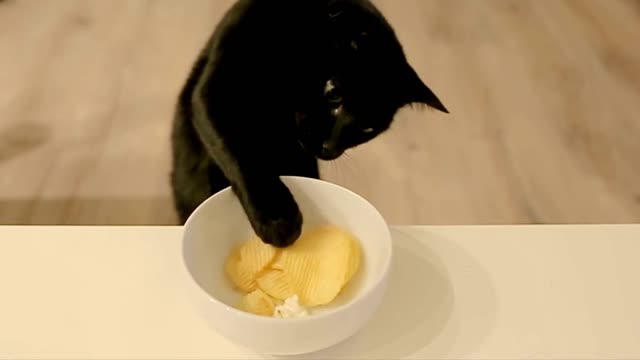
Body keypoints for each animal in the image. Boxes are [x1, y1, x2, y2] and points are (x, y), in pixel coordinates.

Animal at [172, 0, 448, 248]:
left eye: (368, 128)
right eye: (334, 94)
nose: (329, 147)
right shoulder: (215, 92)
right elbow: (243, 155)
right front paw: (277, 219)